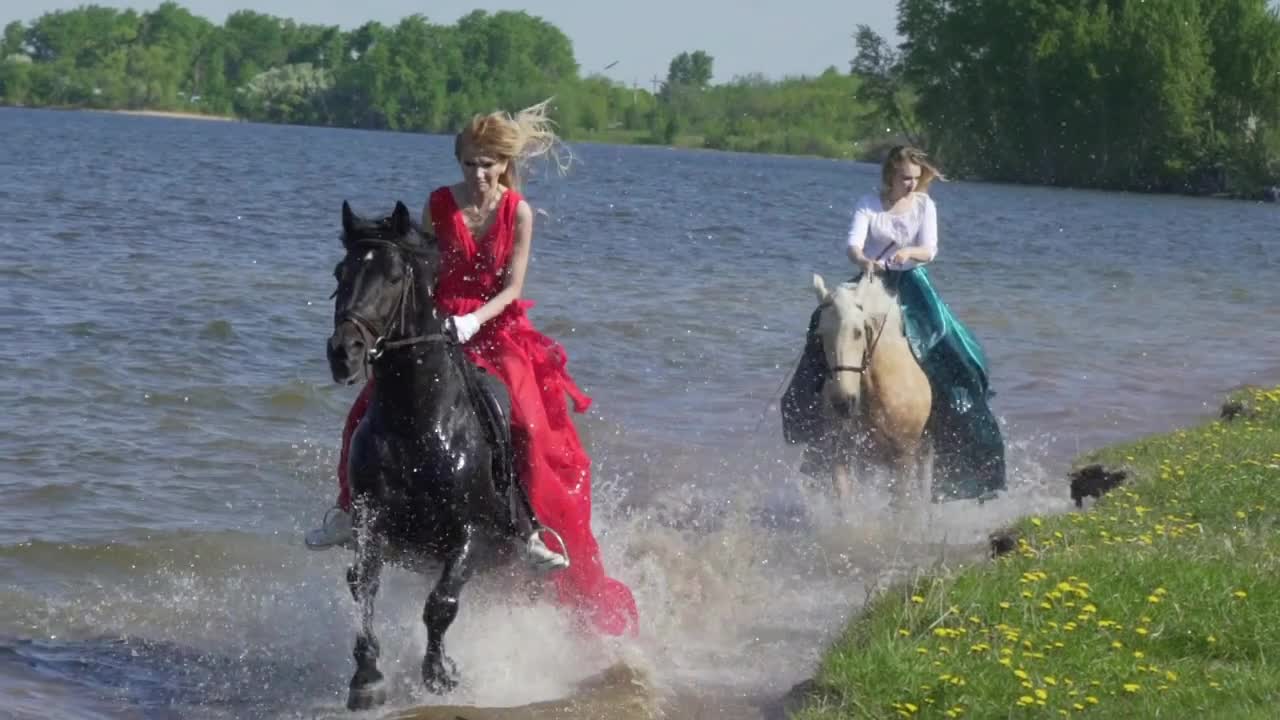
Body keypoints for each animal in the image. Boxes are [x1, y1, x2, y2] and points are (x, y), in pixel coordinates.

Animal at [330, 199, 535, 707]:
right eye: (340, 272)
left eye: (392, 277)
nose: (343, 352)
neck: (417, 425)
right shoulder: (372, 520)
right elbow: (363, 583)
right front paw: (367, 677)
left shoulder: (472, 533)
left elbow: (441, 604)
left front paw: (440, 673)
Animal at [814, 270, 936, 504]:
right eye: (820, 334)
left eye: (858, 332)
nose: (843, 403)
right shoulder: (842, 454)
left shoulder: (904, 455)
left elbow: (901, 504)